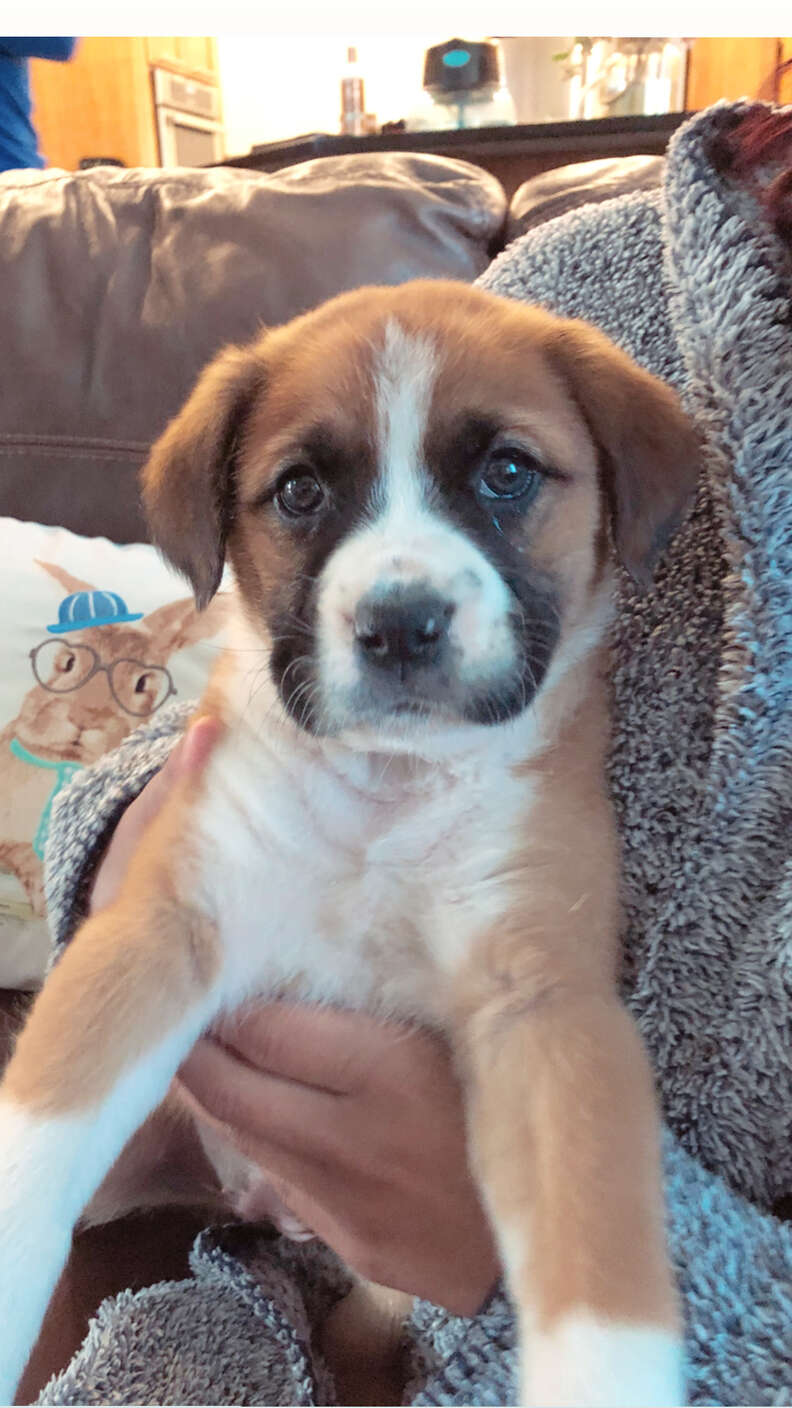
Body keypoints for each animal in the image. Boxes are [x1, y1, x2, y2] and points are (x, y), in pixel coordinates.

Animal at [0, 280, 693, 1402]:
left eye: (507, 472)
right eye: (299, 492)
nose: (400, 624)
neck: (387, 795)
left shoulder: (548, 1017)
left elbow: (601, 1262)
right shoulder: (162, 931)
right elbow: (33, 1145)